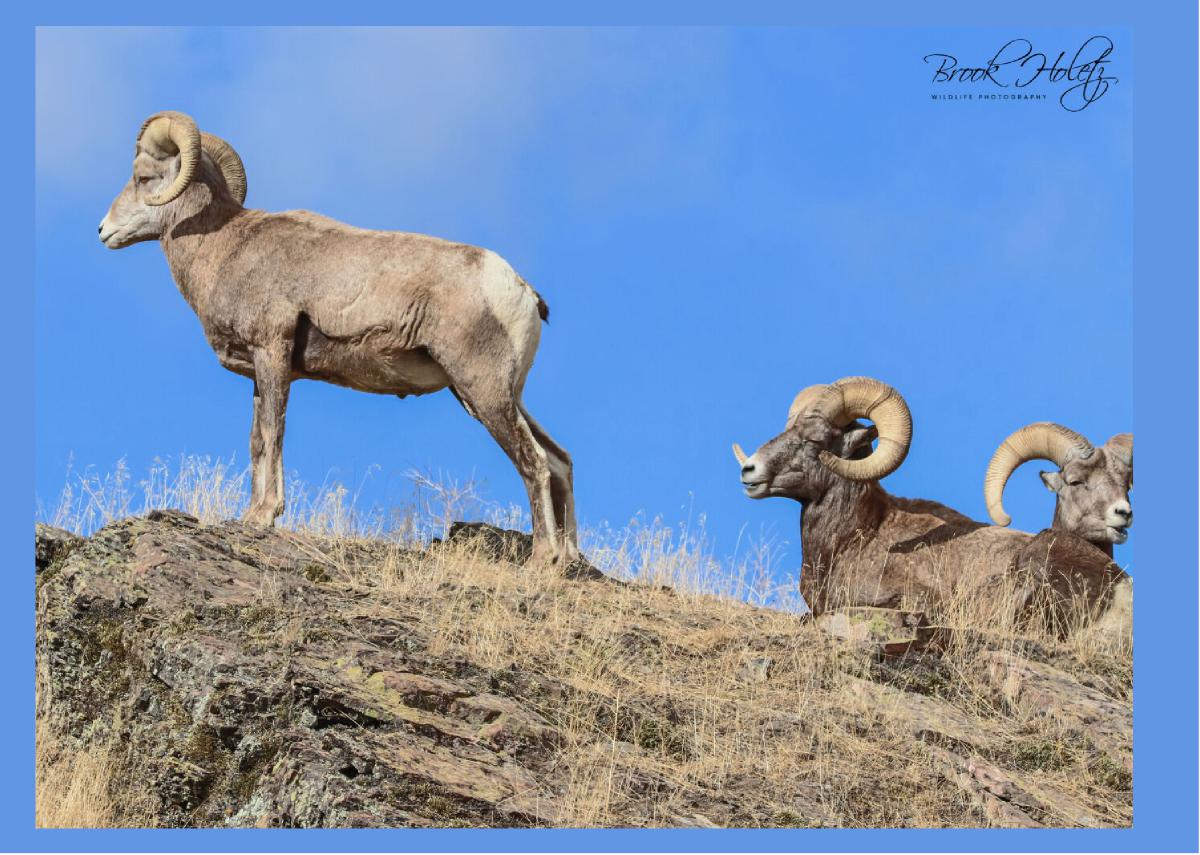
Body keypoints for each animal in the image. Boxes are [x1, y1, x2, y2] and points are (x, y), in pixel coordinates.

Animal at [98, 111, 578, 565]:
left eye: (144, 178)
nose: (103, 230)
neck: (223, 248)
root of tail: (519, 289)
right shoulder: (259, 372)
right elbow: (256, 441)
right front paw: (251, 514)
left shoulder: (272, 352)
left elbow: (274, 432)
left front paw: (266, 515)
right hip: (493, 394)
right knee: (559, 461)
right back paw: (569, 558)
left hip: (483, 391)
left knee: (534, 462)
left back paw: (541, 560)